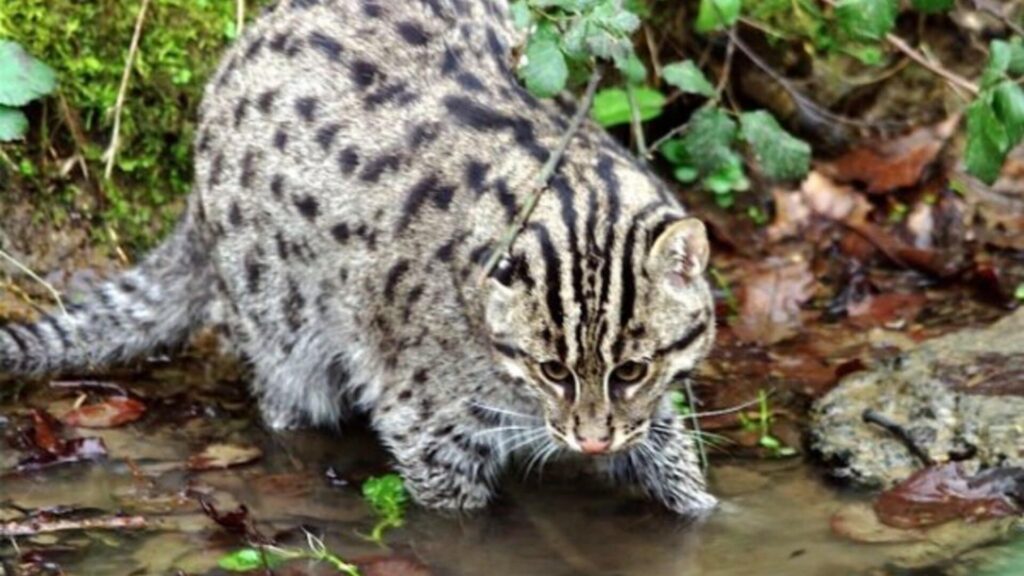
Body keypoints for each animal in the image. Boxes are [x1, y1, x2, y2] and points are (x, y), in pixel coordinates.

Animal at [0, 0, 716, 510]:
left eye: (632, 370)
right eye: (552, 370)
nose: (592, 440)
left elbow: (668, 453)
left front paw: (703, 509)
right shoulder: (426, 418)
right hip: (280, 316)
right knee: (285, 397)